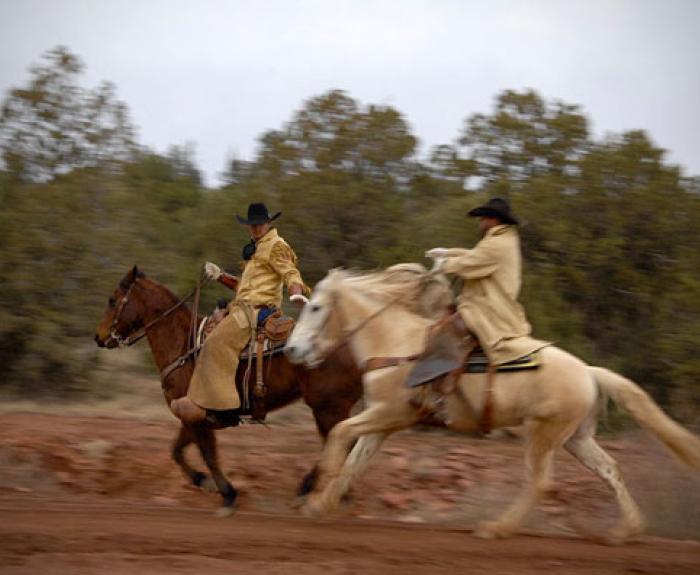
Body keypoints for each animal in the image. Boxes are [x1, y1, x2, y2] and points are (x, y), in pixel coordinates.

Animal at [94, 265, 363, 513]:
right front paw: (202, 480)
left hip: (327, 407)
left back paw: (314, 489)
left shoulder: (198, 419)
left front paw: (226, 493)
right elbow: (177, 451)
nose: (99, 337)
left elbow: (208, 455)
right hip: (328, 408)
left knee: (341, 445)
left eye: (112, 300)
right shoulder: (190, 417)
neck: (182, 345)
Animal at [284, 266, 700, 543]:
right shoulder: (384, 423)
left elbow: (340, 434)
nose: (292, 350)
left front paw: (315, 491)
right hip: (576, 437)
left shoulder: (389, 413)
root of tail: (589, 371)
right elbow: (355, 463)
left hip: (542, 435)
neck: (397, 343)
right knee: (610, 470)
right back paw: (625, 530)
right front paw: (322, 503)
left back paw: (497, 528)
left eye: (316, 308)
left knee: (539, 481)